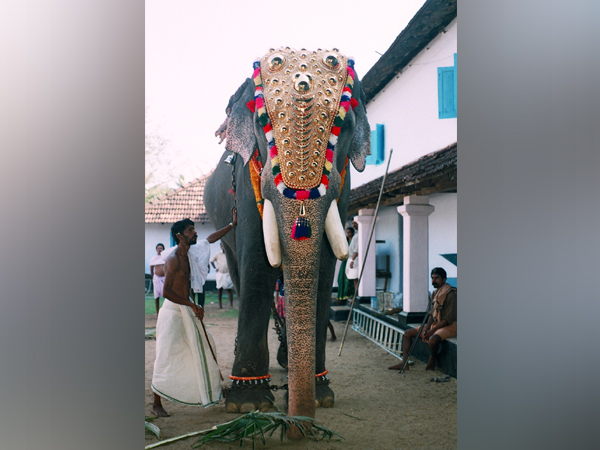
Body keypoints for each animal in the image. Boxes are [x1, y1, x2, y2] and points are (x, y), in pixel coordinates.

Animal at [204, 48, 368, 436]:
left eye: (343, 128)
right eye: (263, 126)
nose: (298, 427)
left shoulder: (344, 185)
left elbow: (324, 268)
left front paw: (321, 395)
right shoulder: (247, 179)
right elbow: (258, 267)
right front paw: (248, 403)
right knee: (240, 273)